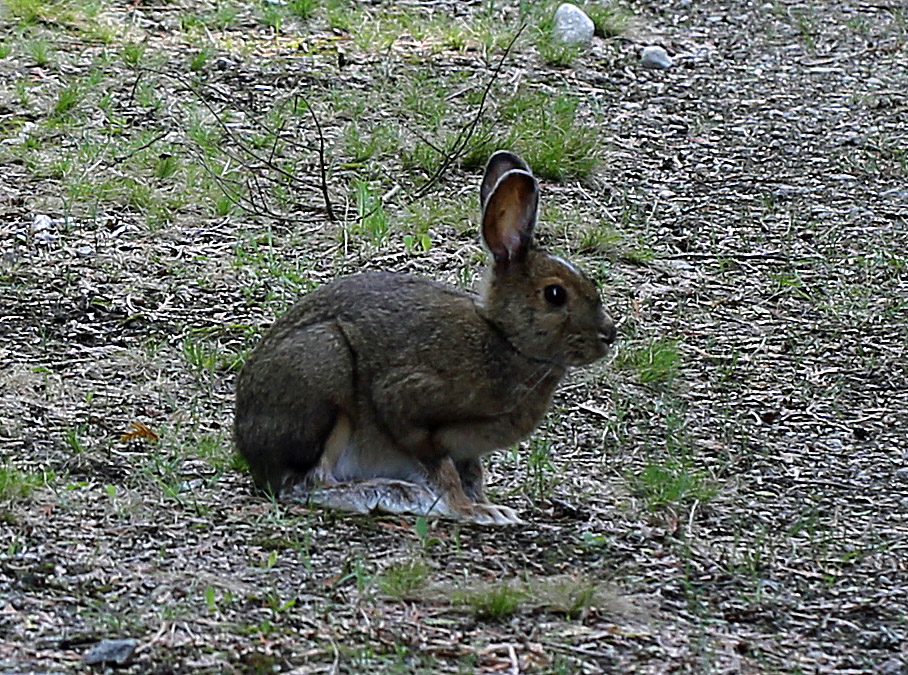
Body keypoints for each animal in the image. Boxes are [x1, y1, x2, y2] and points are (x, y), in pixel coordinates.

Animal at [234, 151, 617, 525]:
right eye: (555, 295)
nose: (608, 336)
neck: (505, 339)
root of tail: (249, 442)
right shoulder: (410, 410)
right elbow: (443, 472)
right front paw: (472, 511)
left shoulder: (467, 451)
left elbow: (472, 475)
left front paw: (491, 507)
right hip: (325, 371)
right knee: (307, 484)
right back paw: (385, 493)